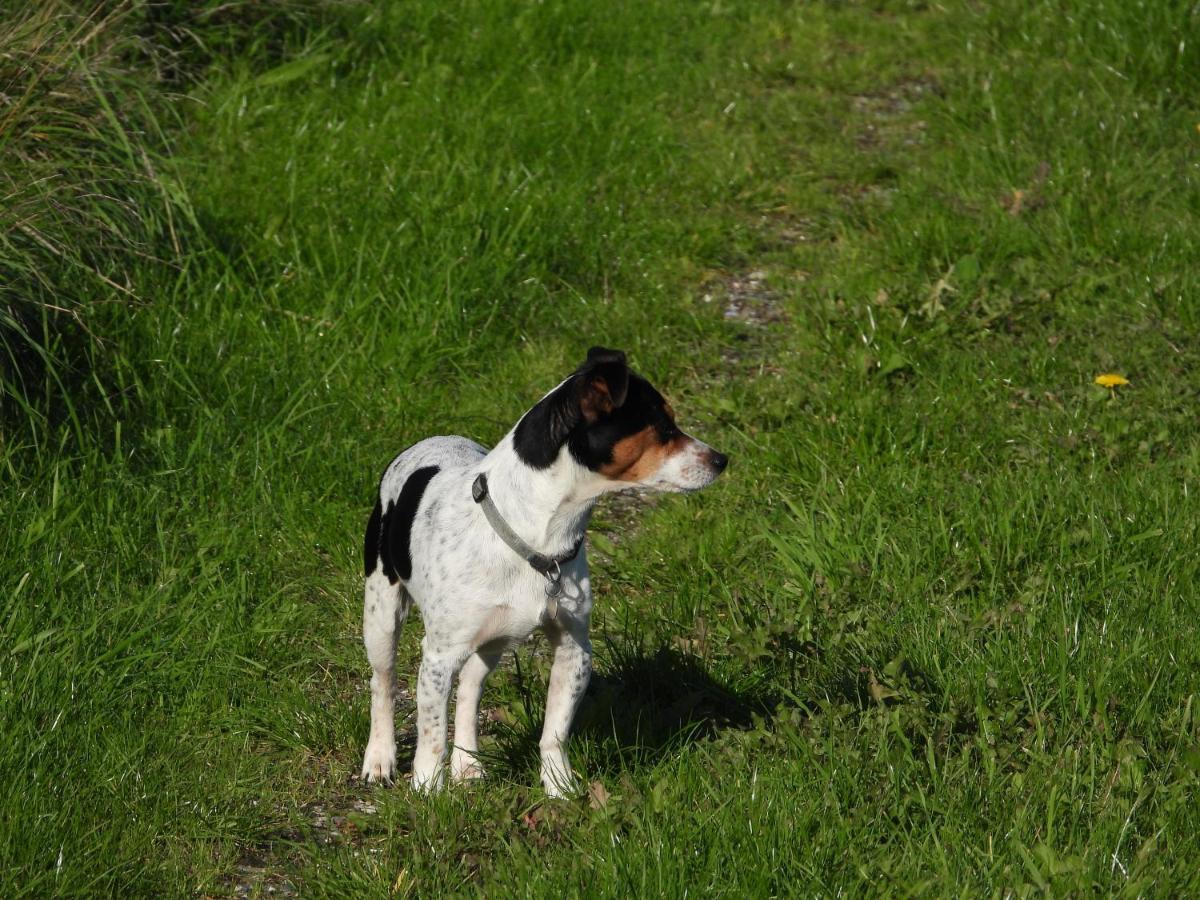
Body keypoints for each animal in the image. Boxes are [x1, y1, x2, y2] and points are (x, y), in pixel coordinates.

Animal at [360, 348, 724, 796]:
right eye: (663, 427)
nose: (722, 460)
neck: (540, 535)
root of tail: (428, 441)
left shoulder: (574, 648)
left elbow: (554, 731)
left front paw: (559, 786)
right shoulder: (438, 657)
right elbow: (431, 735)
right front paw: (428, 790)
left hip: (494, 640)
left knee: (470, 689)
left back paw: (468, 765)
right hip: (381, 614)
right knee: (383, 683)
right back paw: (380, 759)